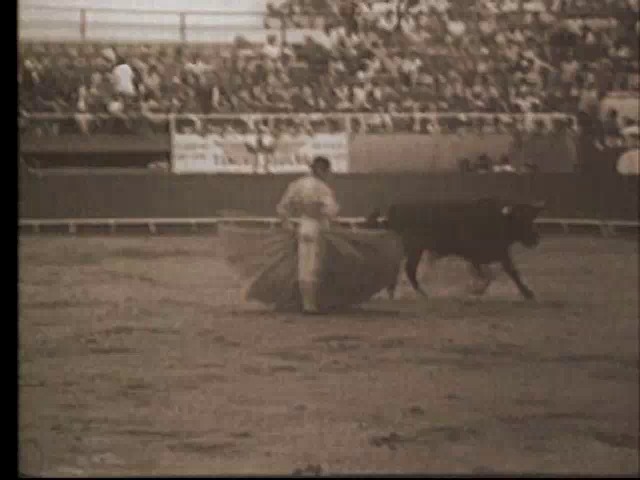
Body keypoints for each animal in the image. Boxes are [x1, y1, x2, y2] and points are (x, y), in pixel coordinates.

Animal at [364, 197, 544, 298]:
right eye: (520, 219)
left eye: (531, 217)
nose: (536, 238)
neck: (497, 220)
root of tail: (394, 210)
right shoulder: (474, 255)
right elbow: (489, 275)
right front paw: (475, 289)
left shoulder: (500, 253)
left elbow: (510, 272)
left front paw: (527, 293)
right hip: (412, 248)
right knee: (407, 269)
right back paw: (414, 293)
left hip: (415, 250)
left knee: (408, 270)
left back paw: (410, 293)